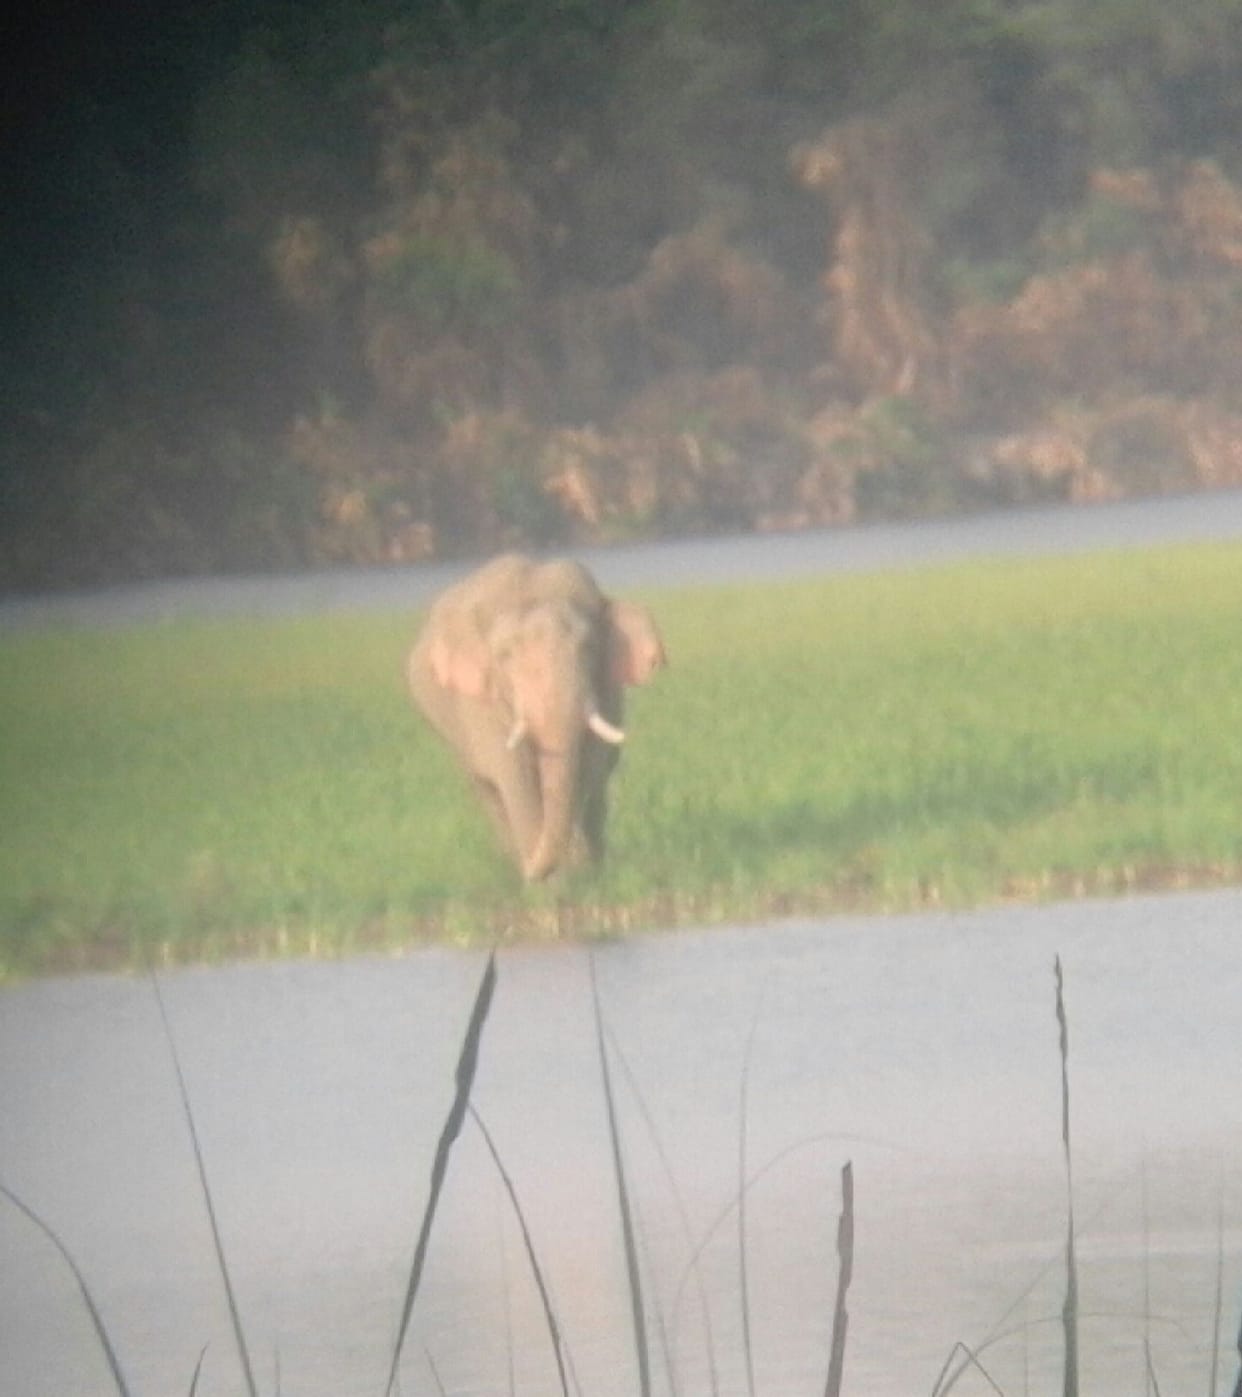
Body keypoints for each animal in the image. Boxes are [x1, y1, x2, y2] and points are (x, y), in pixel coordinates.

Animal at [406, 553, 667, 881]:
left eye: (589, 647)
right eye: (504, 655)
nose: (531, 868)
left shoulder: (605, 687)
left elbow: (589, 766)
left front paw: (583, 874)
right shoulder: (478, 704)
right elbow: (514, 775)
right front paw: (550, 883)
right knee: (486, 789)